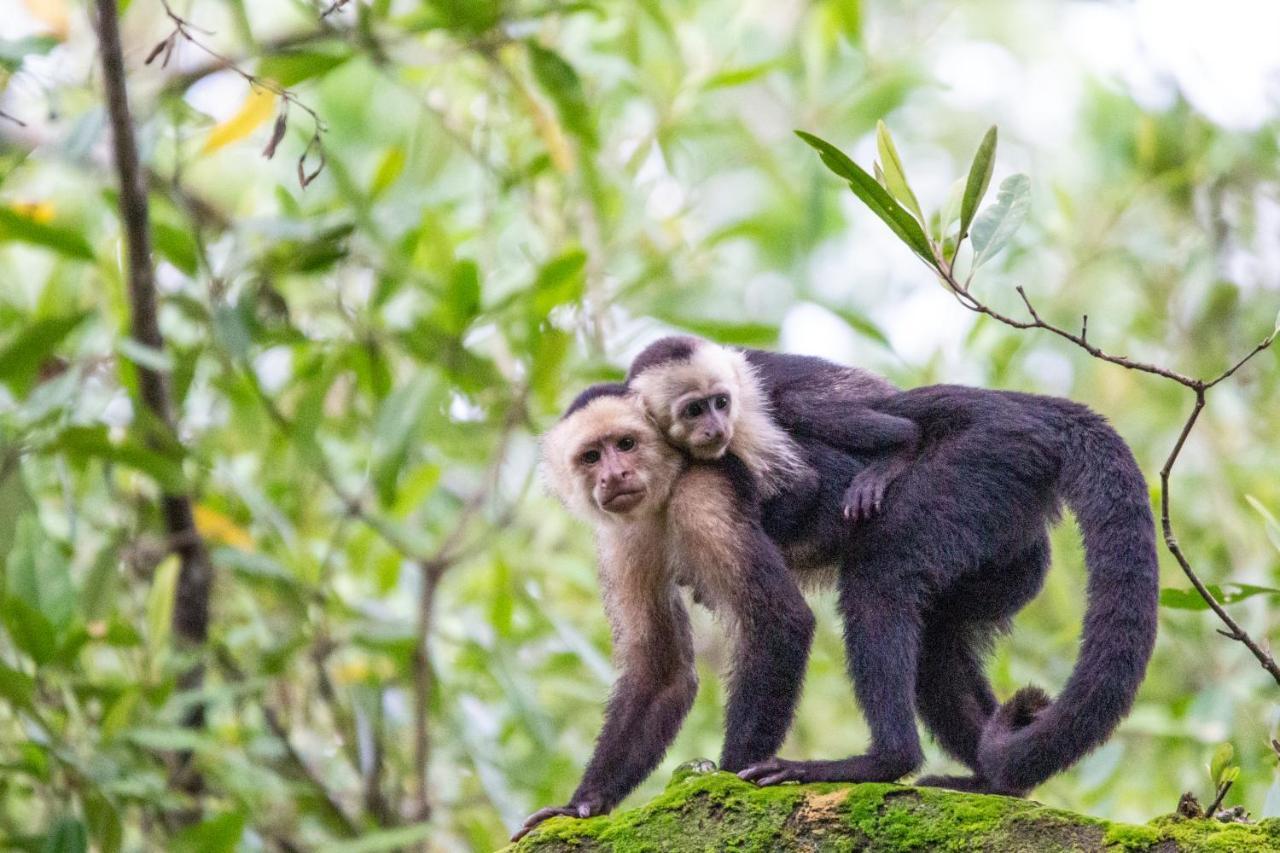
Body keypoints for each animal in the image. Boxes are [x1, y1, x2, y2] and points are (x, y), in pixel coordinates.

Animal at [514, 381, 824, 840]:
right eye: (591, 457)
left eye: (626, 444)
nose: (614, 475)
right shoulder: (625, 539)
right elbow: (662, 671)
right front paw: (583, 804)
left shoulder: (704, 495)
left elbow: (779, 619)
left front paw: (732, 780)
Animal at [627, 333, 1162, 799]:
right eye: (693, 409)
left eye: (718, 403)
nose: (715, 427)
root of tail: (1021, 409)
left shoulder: (712, 476)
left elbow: (799, 499)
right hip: (1007, 539)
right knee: (937, 641)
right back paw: (994, 781)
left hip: (979, 463)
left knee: (877, 574)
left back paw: (884, 761)